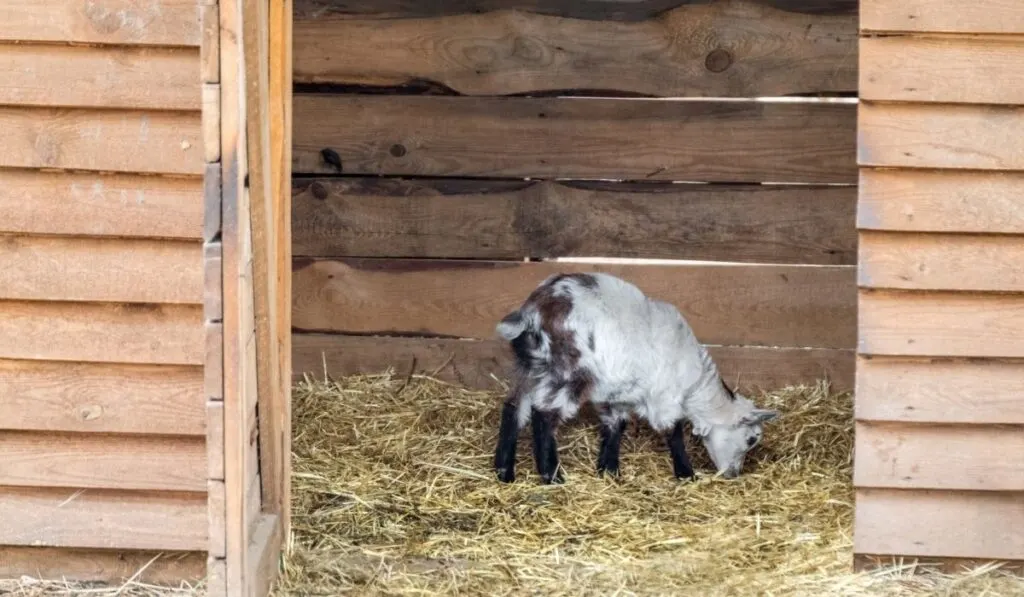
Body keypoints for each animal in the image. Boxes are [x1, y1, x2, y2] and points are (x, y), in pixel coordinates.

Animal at [493, 272, 779, 484]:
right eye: (751, 438)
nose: (734, 474)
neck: (694, 383)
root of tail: (532, 311)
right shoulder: (665, 398)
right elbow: (673, 432)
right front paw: (686, 473)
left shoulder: (616, 395)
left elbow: (615, 427)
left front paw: (609, 470)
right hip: (569, 373)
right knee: (543, 415)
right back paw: (552, 476)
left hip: (530, 368)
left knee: (514, 408)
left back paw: (504, 472)